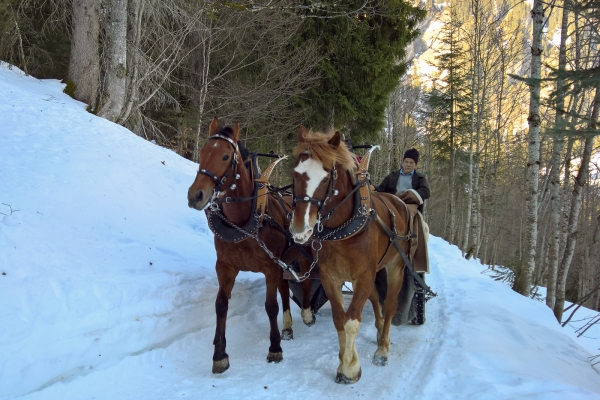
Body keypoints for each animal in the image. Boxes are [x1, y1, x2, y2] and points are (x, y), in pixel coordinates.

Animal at [188, 119, 314, 376]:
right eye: (203, 152)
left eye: (226, 156)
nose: (196, 195)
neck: (244, 224)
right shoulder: (226, 267)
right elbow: (221, 305)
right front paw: (220, 354)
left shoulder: (269, 268)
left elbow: (270, 306)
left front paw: (274, 348)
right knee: (285, 289)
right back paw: (288, 327)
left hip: (303, 255)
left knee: (306, 281)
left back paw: (307, 314)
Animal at [288, 128, 410, 384]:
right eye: (295, 174)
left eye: (325, 179)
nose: (300, 229)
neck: (342, 230)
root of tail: (399, 200)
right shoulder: (330, 278)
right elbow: (339, 319)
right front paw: (344, 360)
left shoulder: (364, 275)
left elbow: (352, 321)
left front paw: (350, 368)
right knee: (375, 298)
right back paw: (379, 329)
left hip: (395, 266)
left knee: (390, 304)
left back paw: (383, 348)